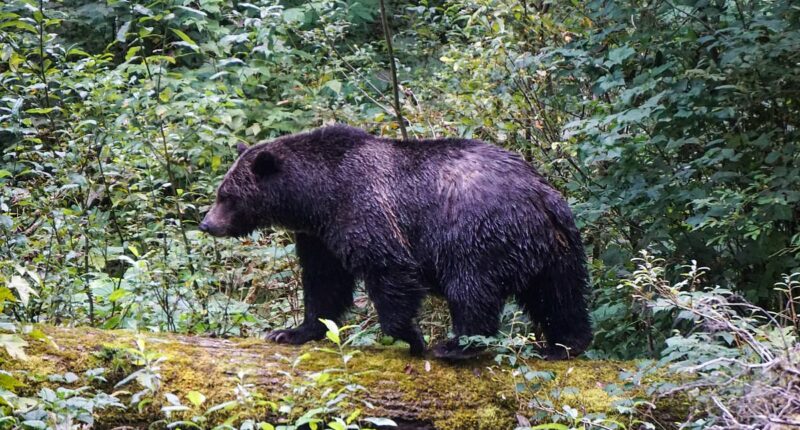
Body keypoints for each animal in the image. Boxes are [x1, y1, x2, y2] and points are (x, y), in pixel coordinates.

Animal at [200, 125, 592, 360]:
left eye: (227, 195)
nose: (207, 223)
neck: (316, 196)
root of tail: (540, 194)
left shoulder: (364, 209)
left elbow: (388, 269)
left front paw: (412, 337)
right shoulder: (319, 236)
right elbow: (324, 285)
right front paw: (291, 331)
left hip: (478, 234)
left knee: (472, 289)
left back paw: (454, 345)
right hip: (557, 247)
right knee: (560, 295)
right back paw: (564, 345)